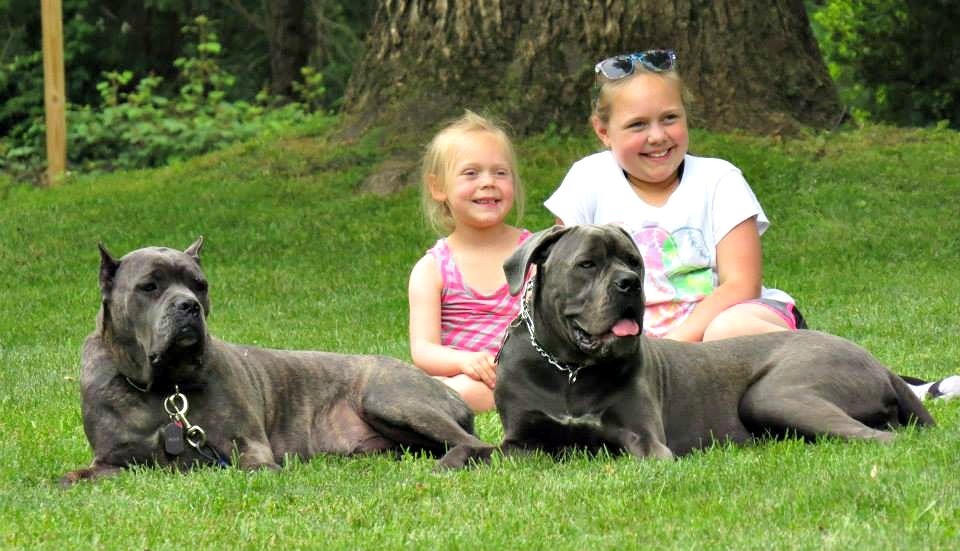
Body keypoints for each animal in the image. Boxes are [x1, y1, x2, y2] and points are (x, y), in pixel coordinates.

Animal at [61, 236, 496, 484]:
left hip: (388, 398)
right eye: (149, 286)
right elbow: (70, 478)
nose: (188, 306)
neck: (165, 388)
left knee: (477, 444)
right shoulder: (111, 460)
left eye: (200, 286)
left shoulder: (250, 449)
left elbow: (251, 470)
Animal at [492, 225, 932, 462]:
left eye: (633, 262)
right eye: (587, 264)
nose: (630, 284)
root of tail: (877, 362)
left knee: (882, 437)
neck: (569, 369)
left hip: (774, 395)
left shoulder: (644, 437)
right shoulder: (520, 441)